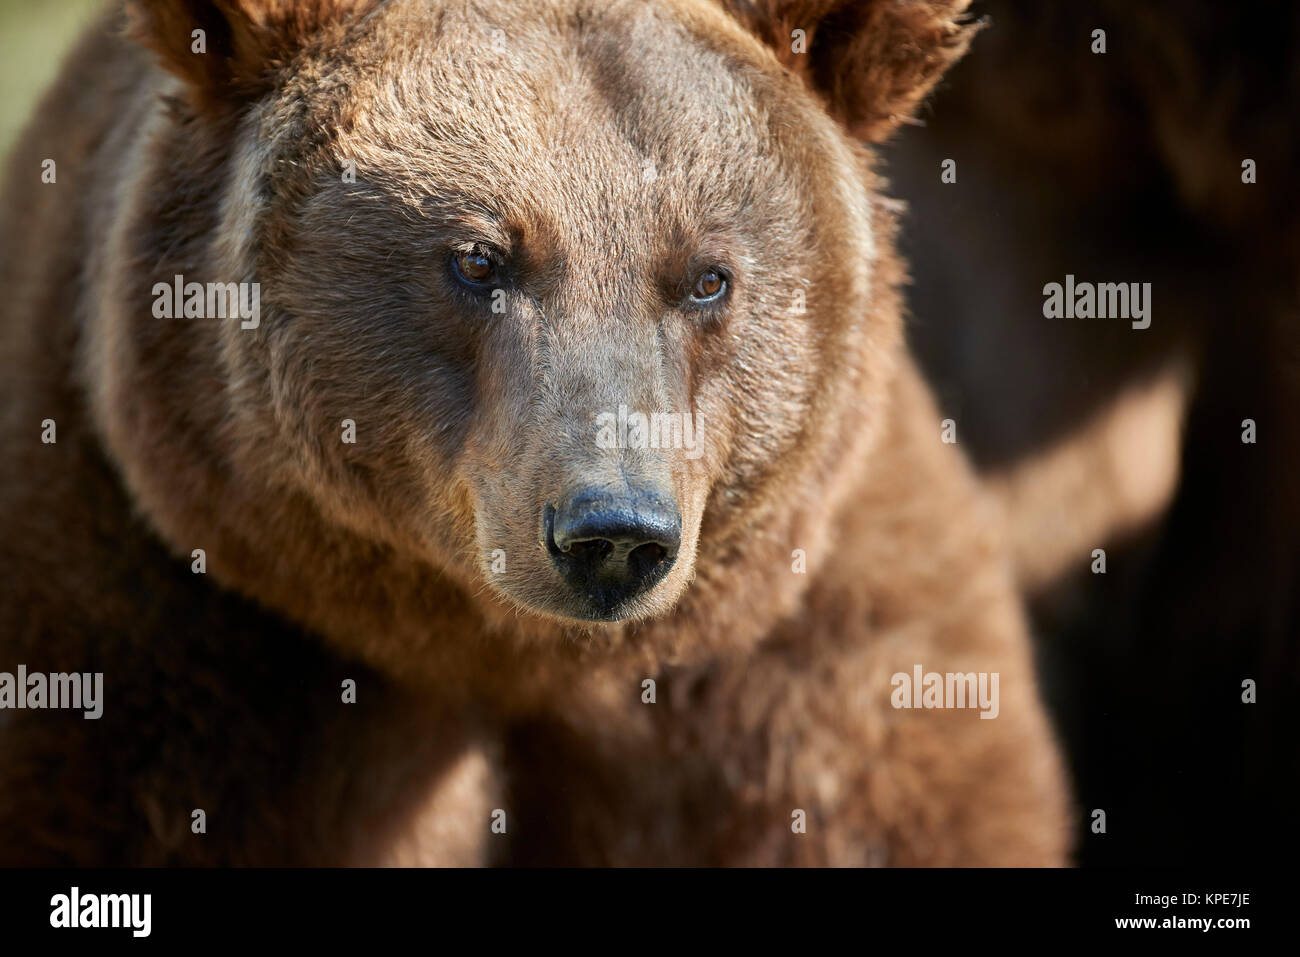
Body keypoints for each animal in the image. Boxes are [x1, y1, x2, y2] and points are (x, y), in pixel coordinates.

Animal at [0, 0, 1071, 868]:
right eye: (479, 257)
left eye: (707, 276)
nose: (613, 532)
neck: (504, 650)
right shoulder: (161, 614)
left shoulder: (806, 652)